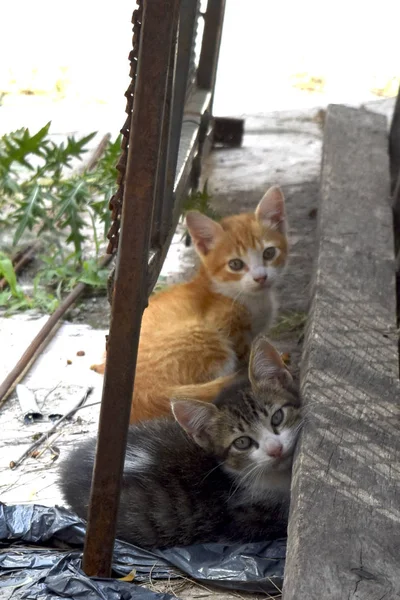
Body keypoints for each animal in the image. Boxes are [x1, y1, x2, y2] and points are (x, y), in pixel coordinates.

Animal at [92, 185, 290, 424]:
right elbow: (245, 355)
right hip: (208, 338)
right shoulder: (230, 329)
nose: (261, 277)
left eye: (269, 253)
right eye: (235, 264)